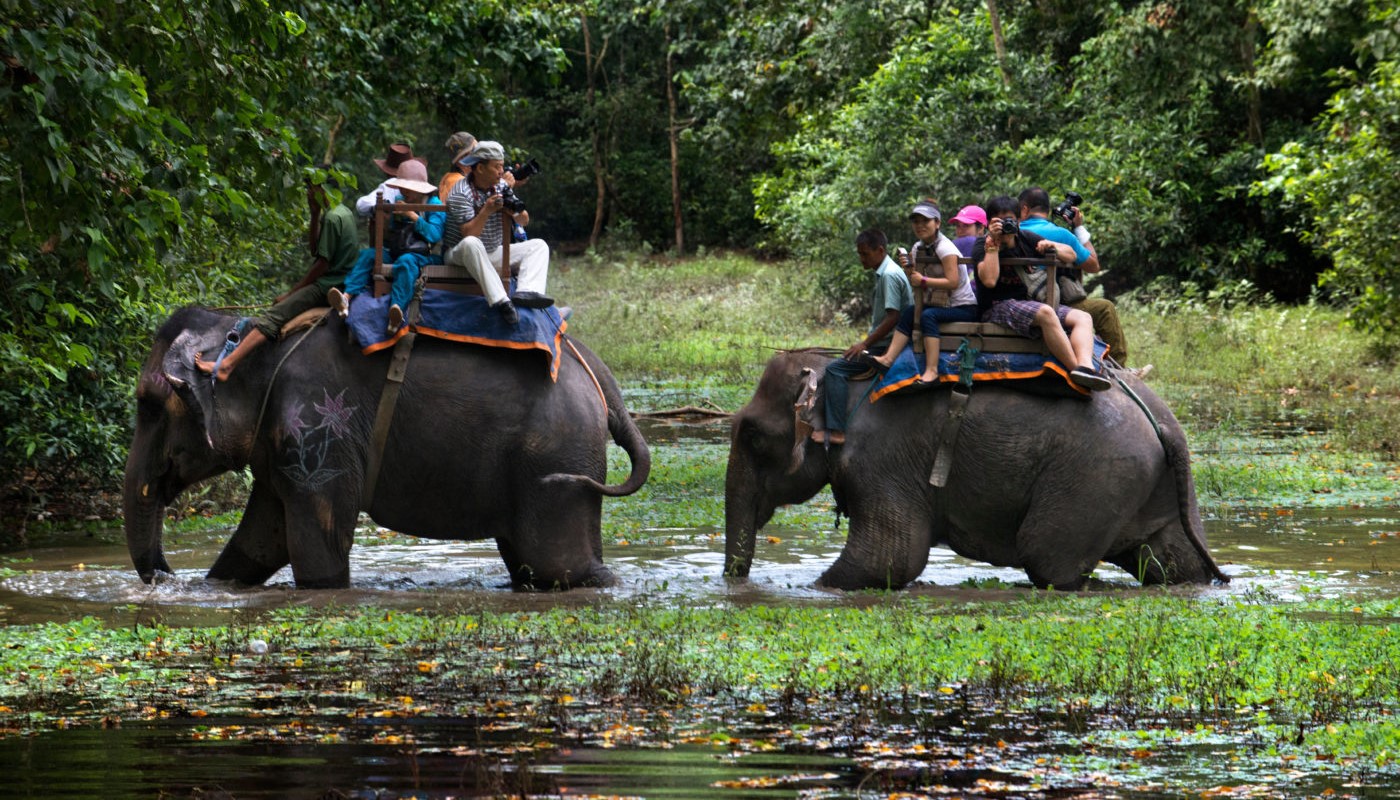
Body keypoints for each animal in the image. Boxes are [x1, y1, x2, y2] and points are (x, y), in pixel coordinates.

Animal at [124, 306, 650, 590]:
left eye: (149, 406)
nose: (167, 577)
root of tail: (594, 371)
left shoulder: (317, 430)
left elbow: (318, 555)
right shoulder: (283, 441)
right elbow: (260, 541)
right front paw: (216, 585)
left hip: (556, 458)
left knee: (558, 565)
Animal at [724, 350, 1228, 590]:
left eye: (752, 435)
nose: (737, 582)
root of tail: (1166, 424)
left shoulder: (882, 460)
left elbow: (888, 558)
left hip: (1097, 478)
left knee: (1047, 560)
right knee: (1172, 561)